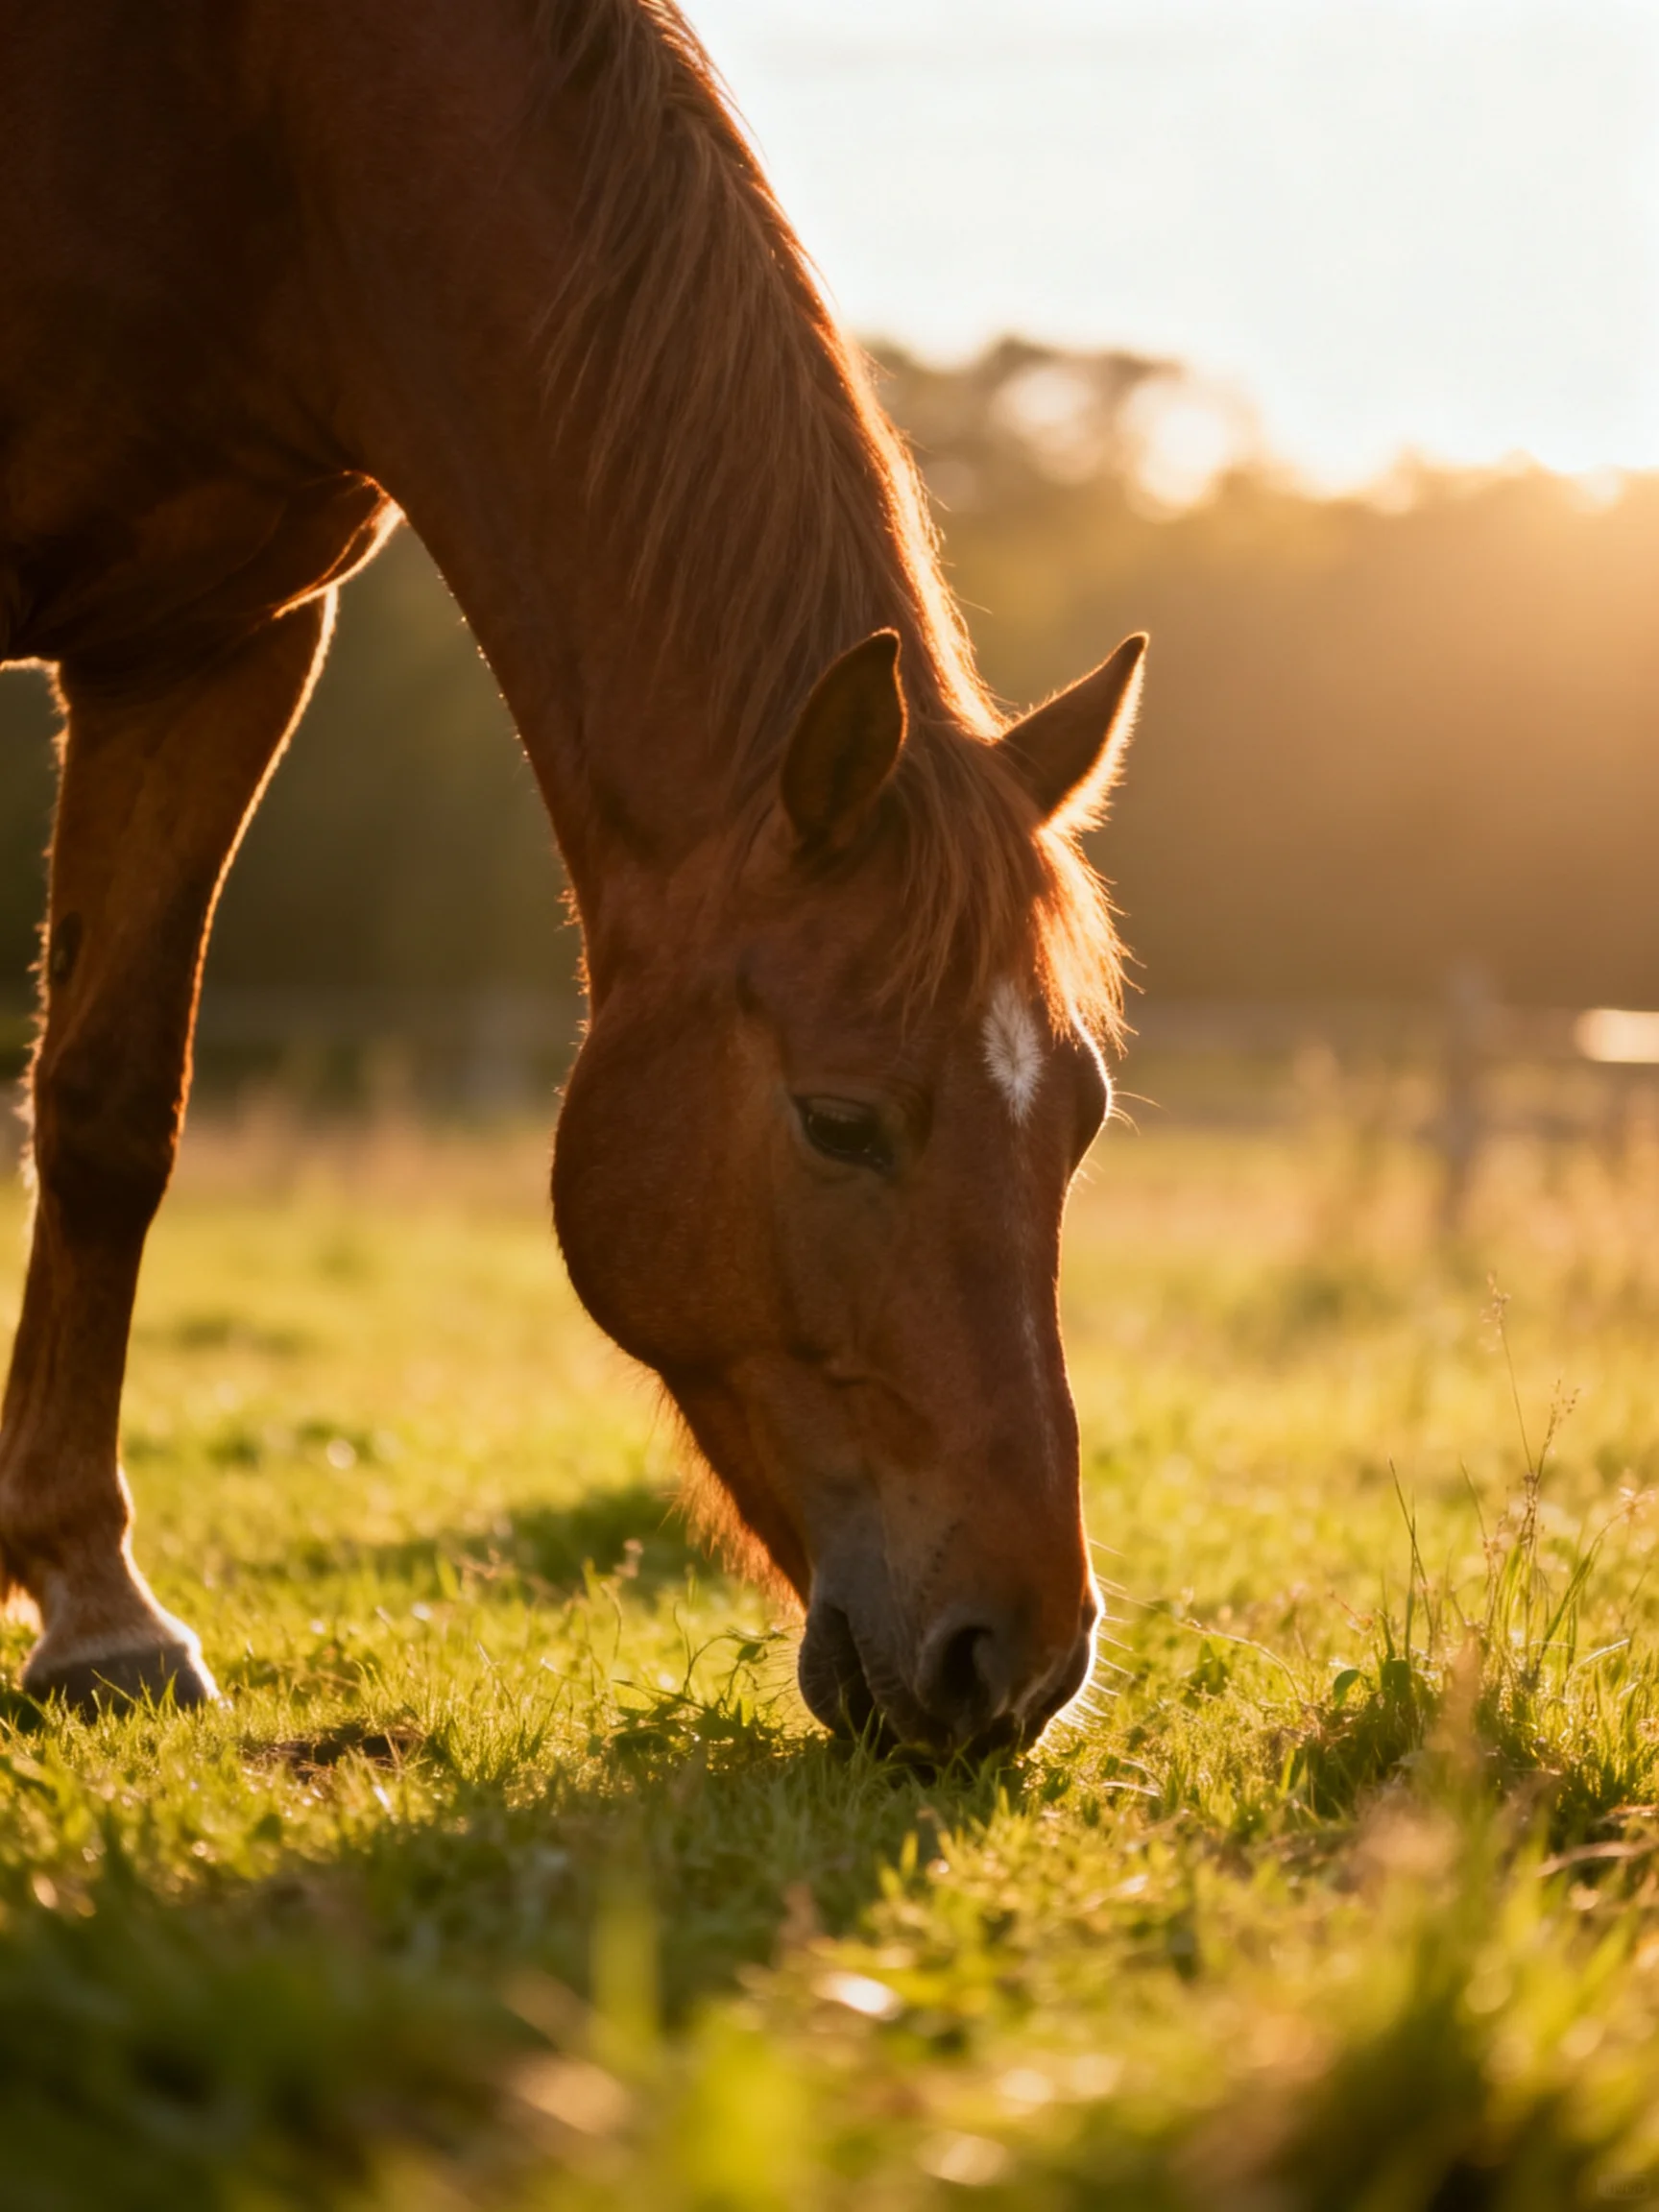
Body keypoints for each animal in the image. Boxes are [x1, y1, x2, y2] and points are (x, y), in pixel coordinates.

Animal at [0, 0, 1146, 1754]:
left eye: (1078, 1121)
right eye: (836, 1120)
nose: (1014, 1661)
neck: (250, 118)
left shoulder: (215, 642)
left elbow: (109, 1112)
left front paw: (92, 1607)